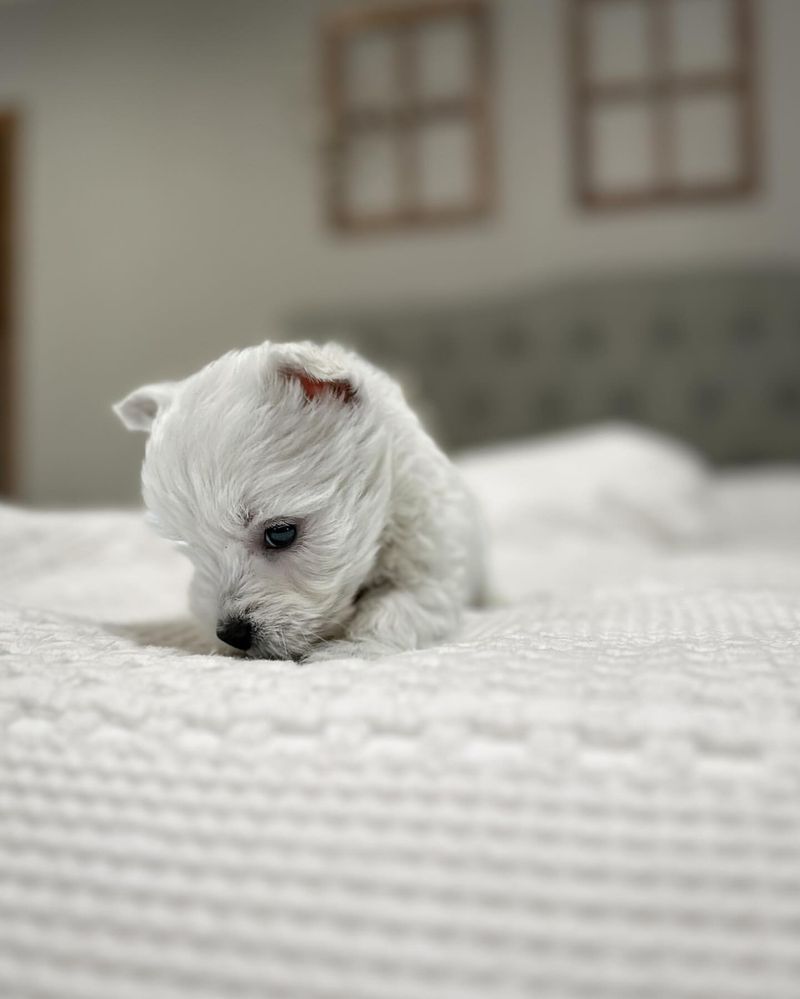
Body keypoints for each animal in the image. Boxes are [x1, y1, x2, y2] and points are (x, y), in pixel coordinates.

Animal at [115, 340, 484, 660]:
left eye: (281, 533)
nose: (231, 635)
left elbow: (396, 606)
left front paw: (348, 650)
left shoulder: (432, 568)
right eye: (192, 547)